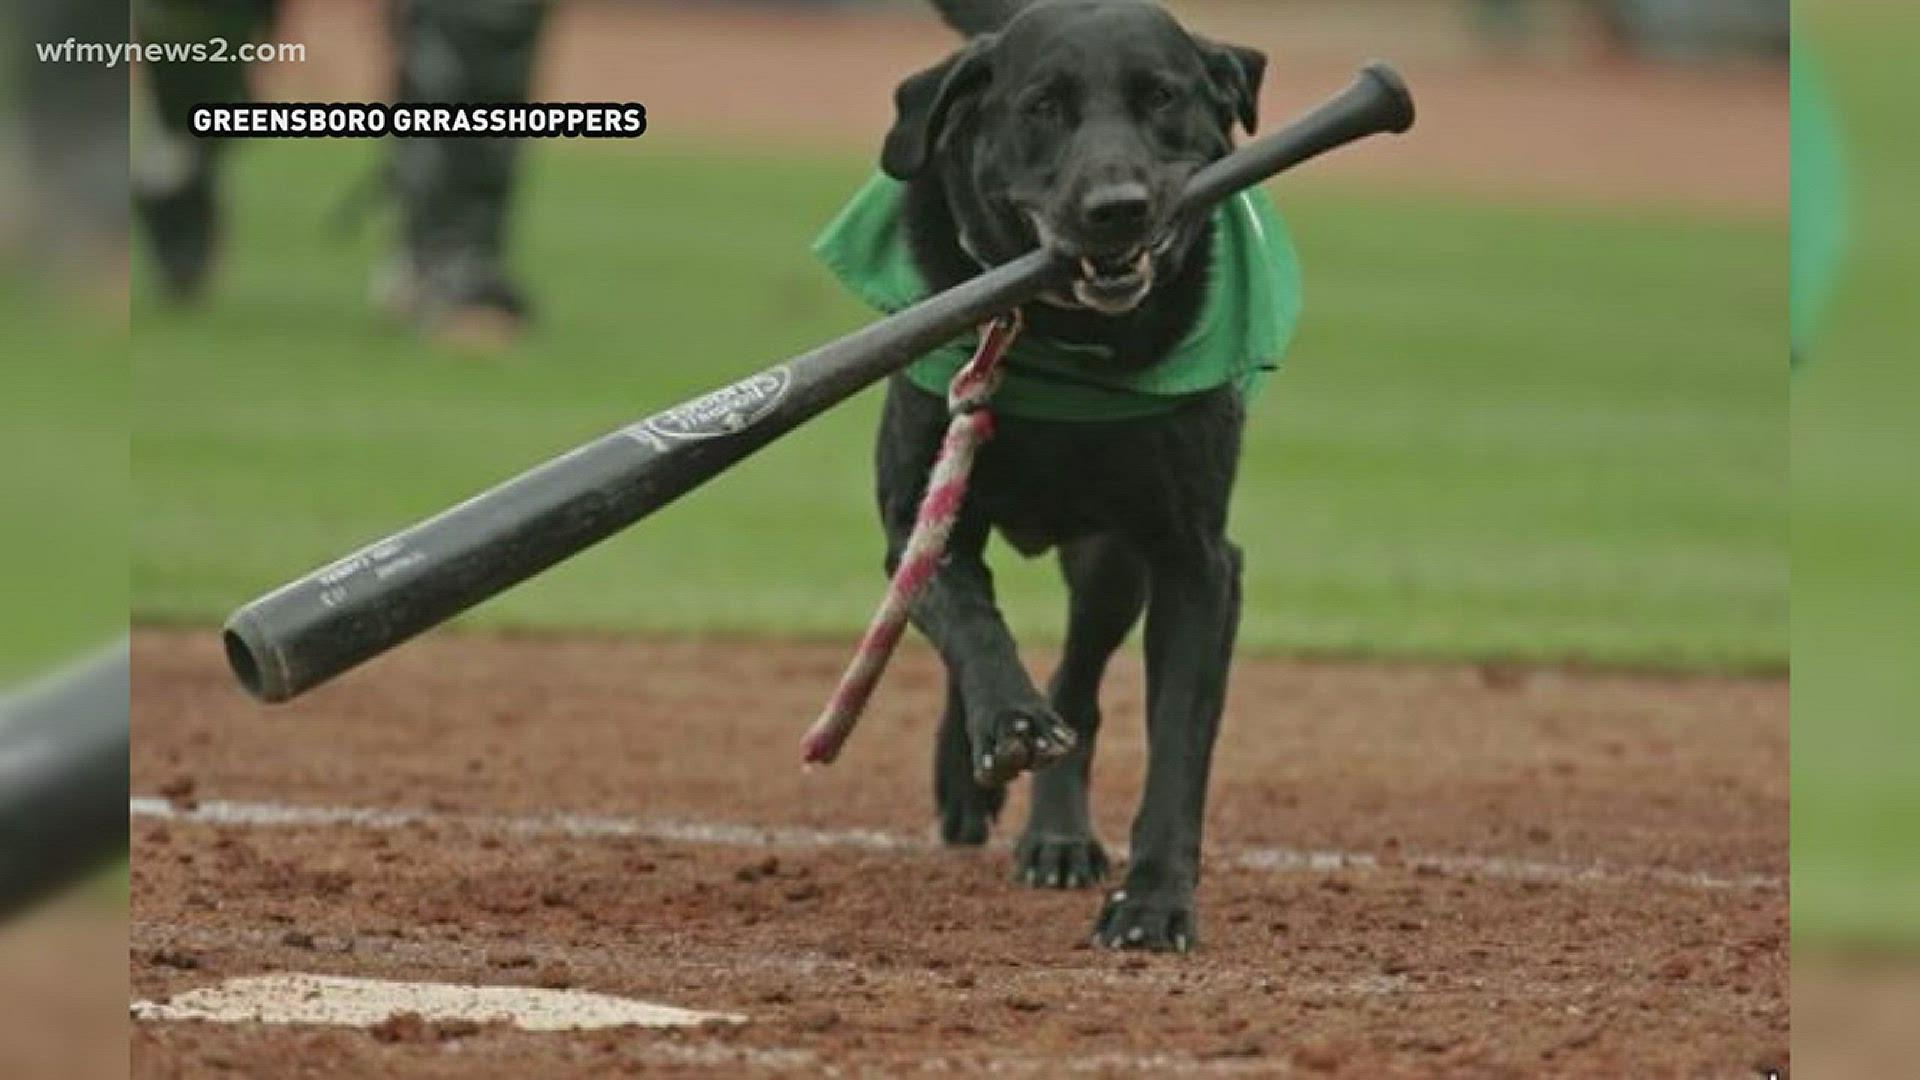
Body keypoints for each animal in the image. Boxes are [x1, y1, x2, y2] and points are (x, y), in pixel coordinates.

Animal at [852, 0, 1274, 945]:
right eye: (1042, 107)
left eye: (1163, 98)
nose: (1117, 209)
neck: (1064, 336)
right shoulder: (918, 518)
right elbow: (969, 619)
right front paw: (1004, 723)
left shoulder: (1197, 560)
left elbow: (1178, 744)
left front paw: (1154, 902)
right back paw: (972, 774)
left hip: (1111, 561)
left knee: (1080, 689)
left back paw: (1057, 837)